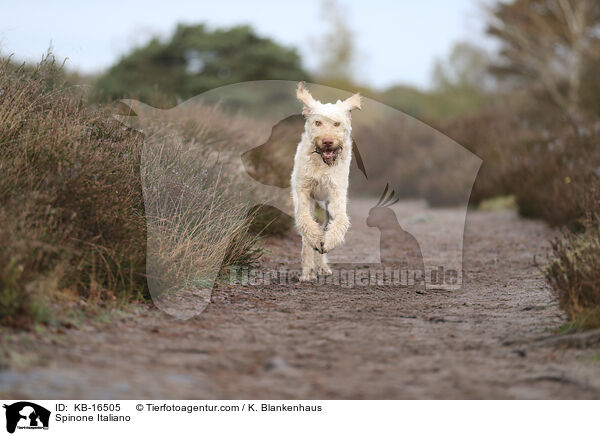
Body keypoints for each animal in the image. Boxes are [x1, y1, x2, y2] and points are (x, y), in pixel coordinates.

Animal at [290, 83, 360, 282]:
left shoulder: (336, 195)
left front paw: (328, 242)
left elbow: (341, 220)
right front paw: (315, 239)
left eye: (337, 123)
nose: (327, 141)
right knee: (307, 235)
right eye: (318, 123)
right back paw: (308, 271)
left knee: (327, 226)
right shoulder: (303, 192)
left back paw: (322, 265)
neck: (322, 164)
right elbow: (305, 221)